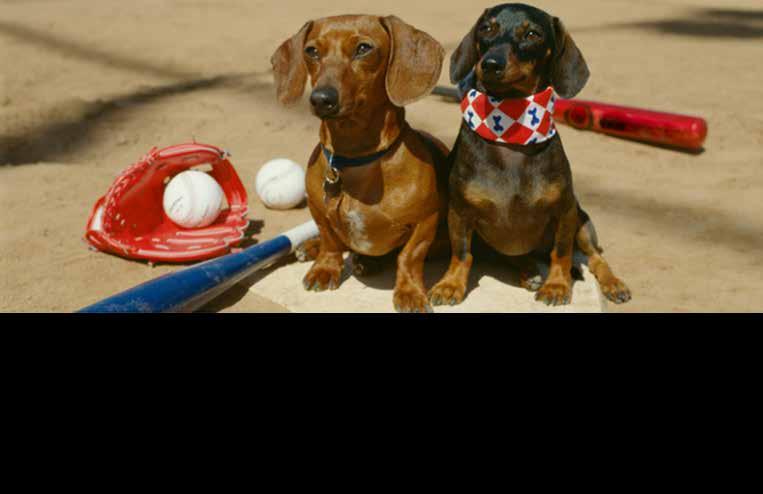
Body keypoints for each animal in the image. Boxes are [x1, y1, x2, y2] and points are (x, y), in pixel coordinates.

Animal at [271, 15, 450, 313]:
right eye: (311, 51)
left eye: (364, 48)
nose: (321, 99)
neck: (356, 159)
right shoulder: (318, 210)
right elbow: (330, 241)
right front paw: (324, 268)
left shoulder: (426, 220)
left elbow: (409, 257)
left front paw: (410, 292)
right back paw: (312, 247)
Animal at [429, 3, 631, 307]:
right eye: (486, 28)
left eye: (533, 34)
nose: (490, 64)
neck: (511, 134)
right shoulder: (460, 212)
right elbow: (462, 254)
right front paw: (450, 284)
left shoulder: (565, 211)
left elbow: (561, 252)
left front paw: (557, 286)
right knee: (516, 256)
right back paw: (529, 271)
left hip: (583, 222)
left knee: (595, 257)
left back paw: (611, 282)